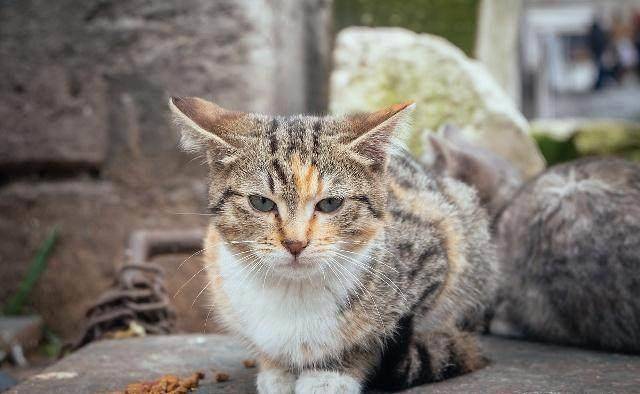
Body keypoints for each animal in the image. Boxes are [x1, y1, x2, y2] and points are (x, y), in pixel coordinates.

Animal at [170, 97, 500, 392]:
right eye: (261, 202)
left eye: (330, 203)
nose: (295, 243)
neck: (294, 292)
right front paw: (277, 372)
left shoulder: (437, 251)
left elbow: (374, 339)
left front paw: (331, 375)